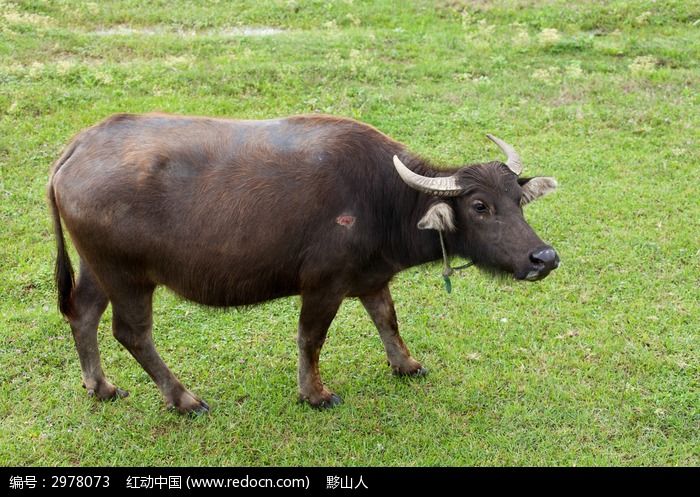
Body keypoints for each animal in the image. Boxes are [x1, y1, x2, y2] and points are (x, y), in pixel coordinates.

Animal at [47, 112, 556, 410]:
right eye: (479, 206)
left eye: (517, 200)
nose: (544, 257)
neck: (382, 200)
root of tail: (75, 149)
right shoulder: (323, 285)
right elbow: (311, 338)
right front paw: (314, 393)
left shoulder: (371, 277)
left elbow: (387, 319)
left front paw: (406, 365)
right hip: (128, 276)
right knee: (131, 333)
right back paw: (184, 398)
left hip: (96, 268)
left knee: (83, 313)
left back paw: (101, 386)